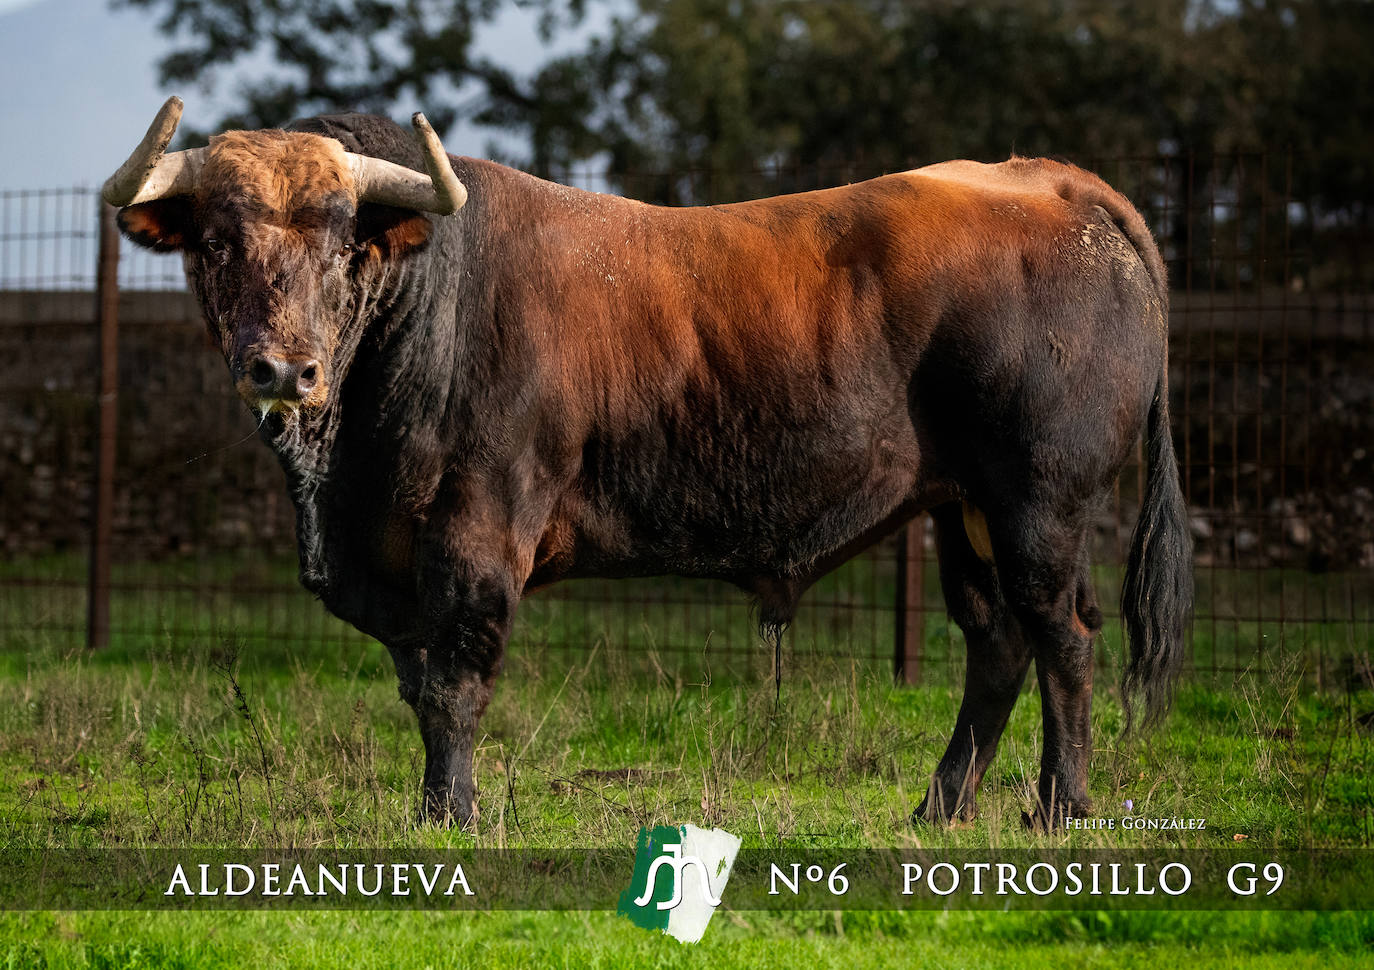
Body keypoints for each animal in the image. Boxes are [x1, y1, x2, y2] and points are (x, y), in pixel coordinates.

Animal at [104, 96, 1192, 824]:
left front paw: (450, 815)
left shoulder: (477, 529)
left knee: (1064, 638)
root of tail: (1052, 179)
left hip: (1039, 501)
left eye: (341, 239)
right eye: (214, 239)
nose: (284, 367)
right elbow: (418, 684)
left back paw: (1059, 808)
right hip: (960, 508)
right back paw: (940, 806)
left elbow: (455, 682)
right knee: (997, 644)